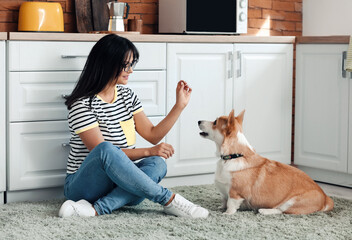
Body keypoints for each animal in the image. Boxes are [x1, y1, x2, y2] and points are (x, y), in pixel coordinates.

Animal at [198, 109, 332, 215]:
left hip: (292, 201)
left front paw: (226, 214)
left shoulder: (235, 193)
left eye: (215, 122)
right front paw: (220, 207)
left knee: (281, 210)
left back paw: (264, 211)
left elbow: (231, 204)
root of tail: (325, 197)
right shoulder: (224, 193)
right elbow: (224, 200)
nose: (198, 121)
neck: (234, 156)